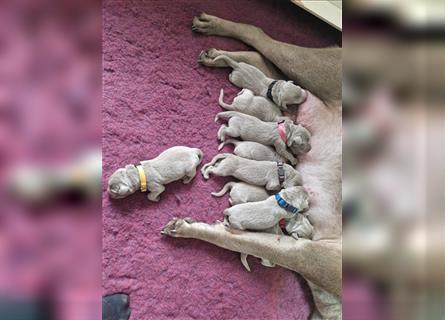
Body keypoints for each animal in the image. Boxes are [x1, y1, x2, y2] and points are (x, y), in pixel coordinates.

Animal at [162, 13, 340, 318]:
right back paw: (215, 31)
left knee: (265, 66)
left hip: (295, 92)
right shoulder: (310, 254)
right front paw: (190, 228)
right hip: (322, 73)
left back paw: (216, 54)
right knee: (260, 36)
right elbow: (239, 239)